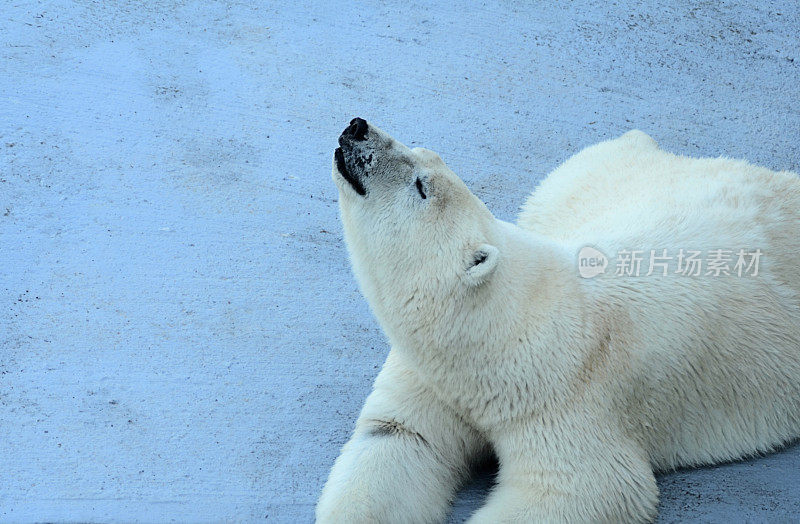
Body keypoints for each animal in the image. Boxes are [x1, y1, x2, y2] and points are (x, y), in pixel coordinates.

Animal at [318, 118, 800, 524]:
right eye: (419, 150)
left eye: (421, 185)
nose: (358, 127)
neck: (496, 341)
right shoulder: (433, 379)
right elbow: (399, 438)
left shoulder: (563, 396)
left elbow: (585, 488)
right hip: (577, 183)